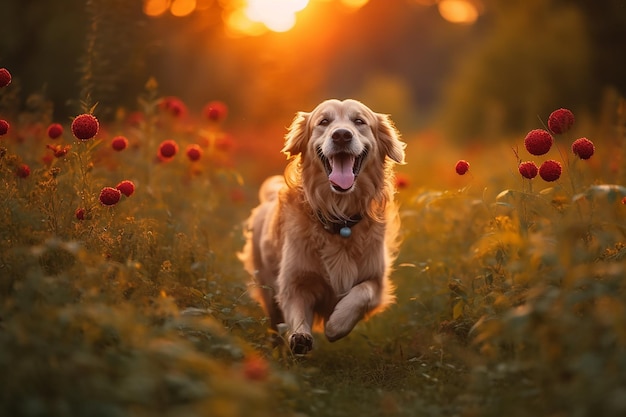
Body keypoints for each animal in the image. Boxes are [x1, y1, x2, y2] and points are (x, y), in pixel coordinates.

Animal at [239, 99, 404, 352]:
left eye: (359, 121)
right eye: (324, 122)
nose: (342, 135)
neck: (339, 217)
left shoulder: (377, 281)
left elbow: (361, 293)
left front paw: (335, 323)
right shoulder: (293, 281)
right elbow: (296, 309)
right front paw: (300, 337)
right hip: (266, 283)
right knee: (275, 319)